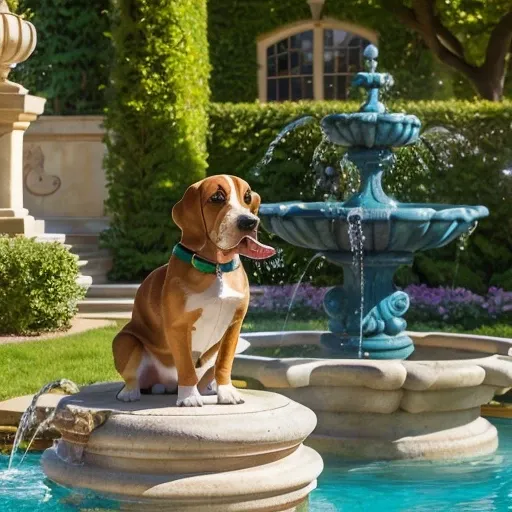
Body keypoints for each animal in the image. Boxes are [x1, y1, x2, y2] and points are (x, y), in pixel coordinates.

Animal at [113, 176, 276, 408]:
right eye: (217, 198)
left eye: (246, 197)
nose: (249, 222)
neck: (216, 267)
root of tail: (165, 384)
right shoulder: (179, 326)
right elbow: (186, 366)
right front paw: (189, 397)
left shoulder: (234, 326)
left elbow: (224, 363)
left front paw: (226, 392)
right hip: (124, 341)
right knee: (132, 376)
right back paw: (130, 392)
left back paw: (208, 387)